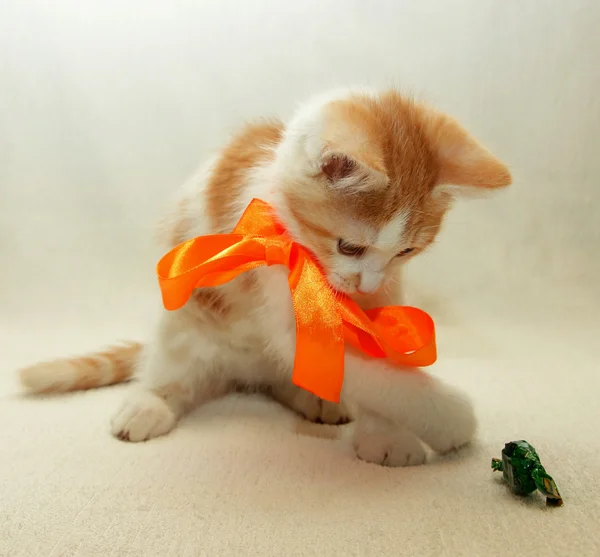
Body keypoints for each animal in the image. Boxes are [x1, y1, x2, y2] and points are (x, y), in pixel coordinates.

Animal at [22, 89, 510, 466]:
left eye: (406, 251)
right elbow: (379, 374)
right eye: (349, 247)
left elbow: (381, 357)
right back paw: (150, 402)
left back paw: (315, 399)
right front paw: (453, 420)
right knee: (172, 367)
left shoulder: (384, 292)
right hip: (185, 325)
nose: (366, 284)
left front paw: (387, 436)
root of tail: (245, 371)